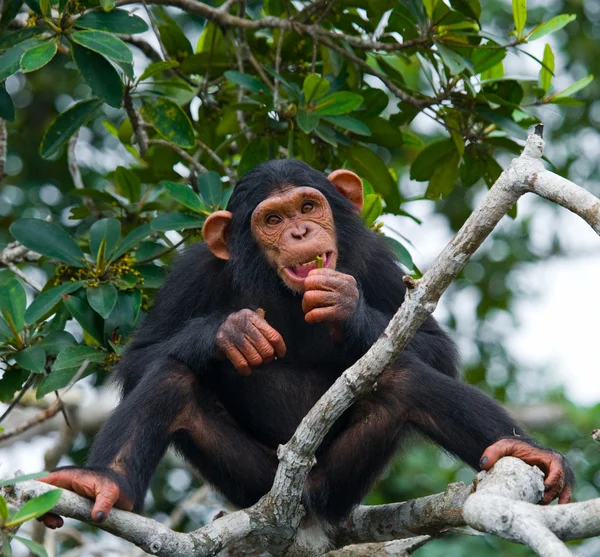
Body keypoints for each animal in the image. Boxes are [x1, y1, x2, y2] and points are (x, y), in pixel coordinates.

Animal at [41, 160, 572, 528]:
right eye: (273, 220)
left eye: (308, 206)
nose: (299, 231)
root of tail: (302, 501)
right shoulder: (193, 272)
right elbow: (140, 357)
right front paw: (230, 332)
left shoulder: (375, 256)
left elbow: (434, 346)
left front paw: (345, 307)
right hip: (252, 481)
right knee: (171, 376)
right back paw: (101, 481)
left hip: (339, 484)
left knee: (405, 378)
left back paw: (526, 451)